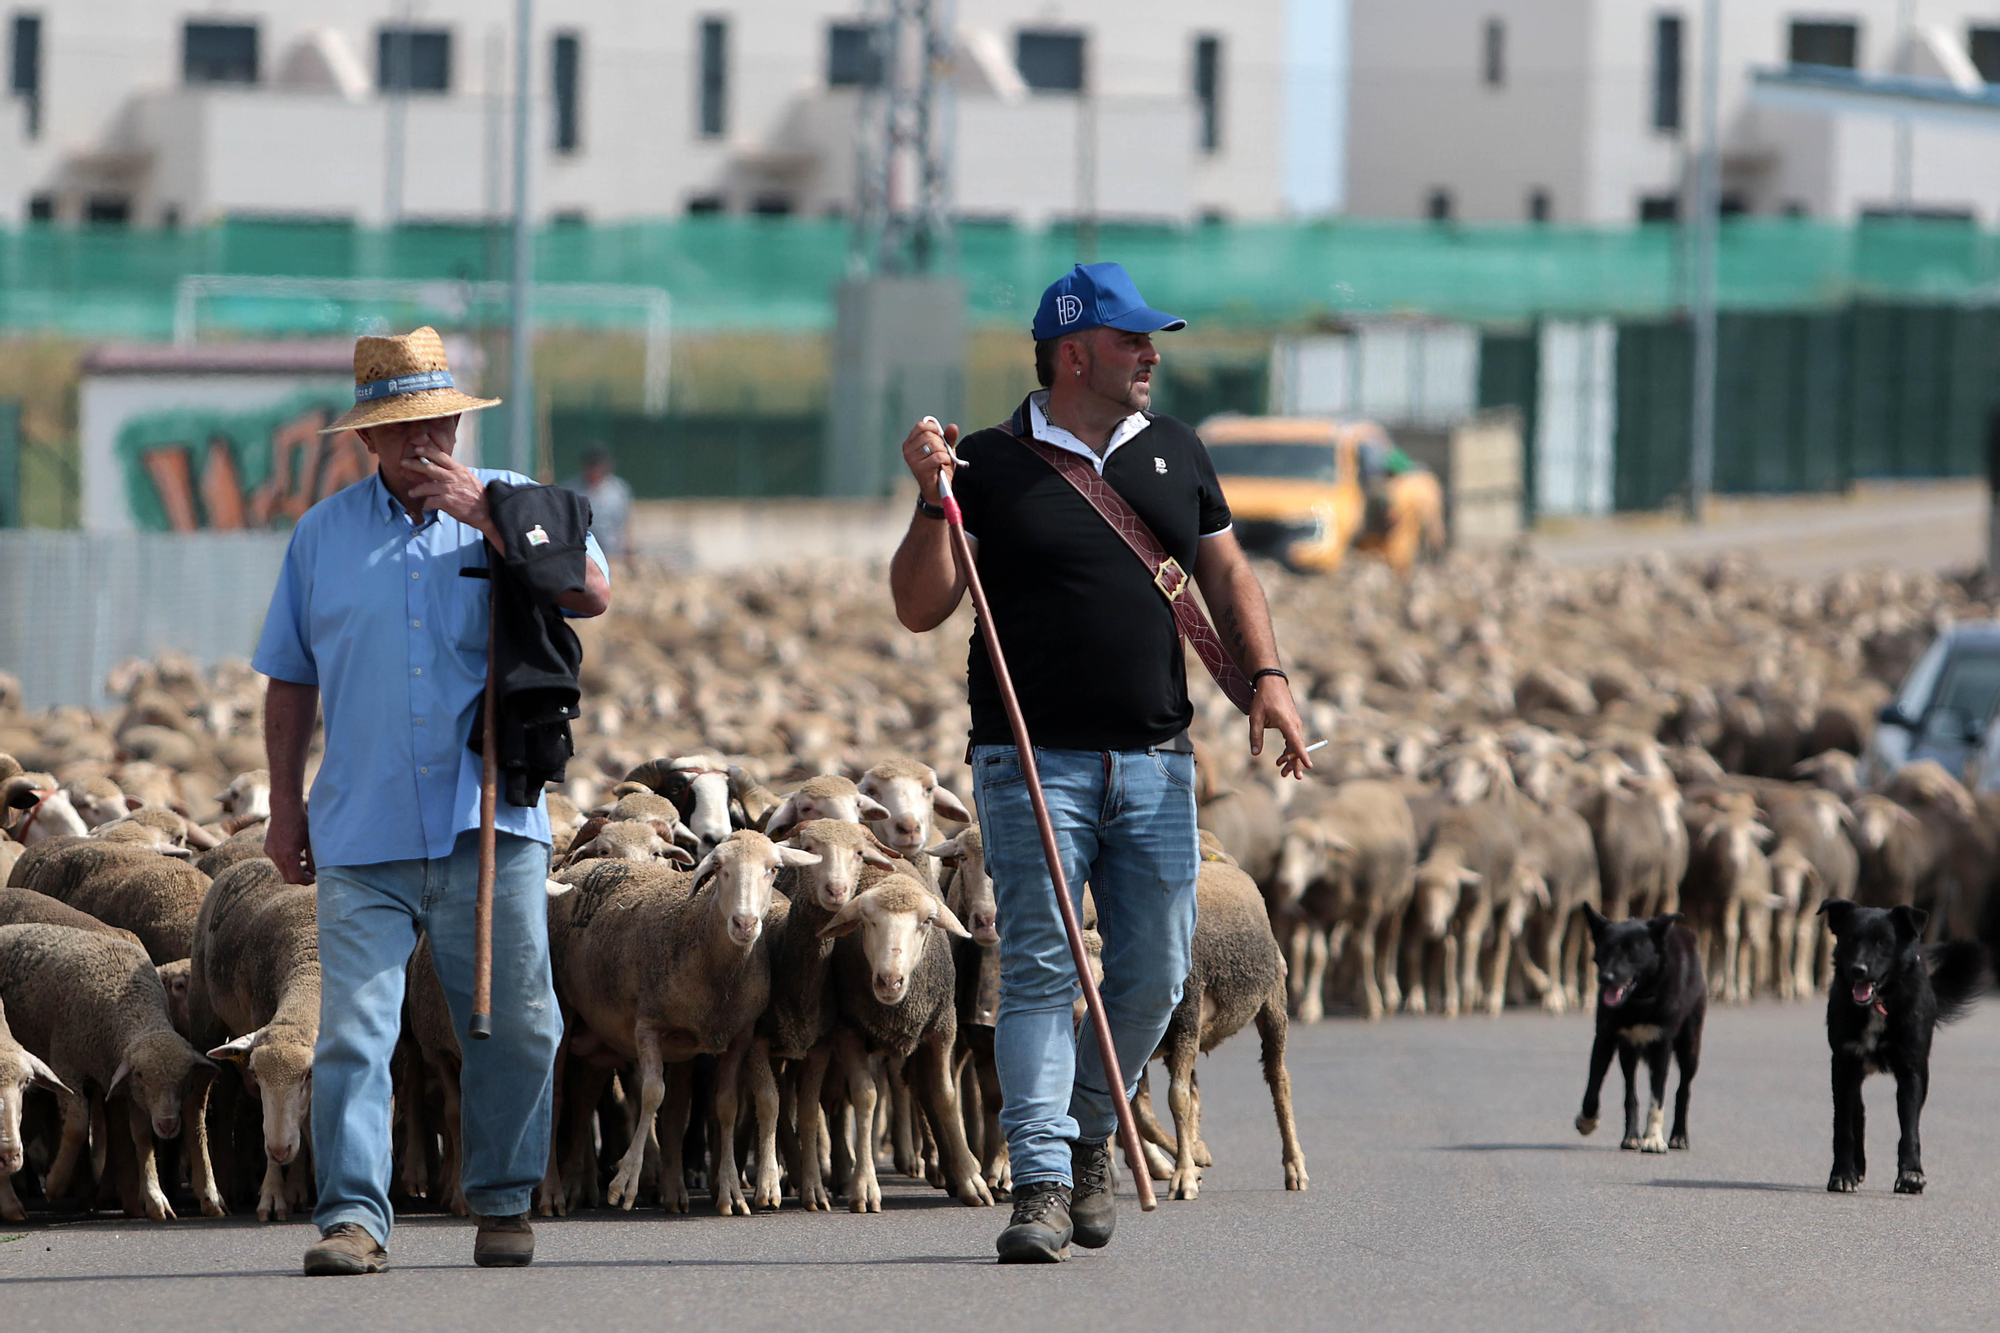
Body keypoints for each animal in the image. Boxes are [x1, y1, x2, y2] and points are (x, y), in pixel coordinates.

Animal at [186, 857, 319, 1221]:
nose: (279, 1149)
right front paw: (272, 1196)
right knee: (199, 1100)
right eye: (257, 1076)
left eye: (308, 1075)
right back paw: (212, 1194)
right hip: (204, 1008)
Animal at [1130, 857, 1308, 1200]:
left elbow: (1177, 1099)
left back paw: (1295, 1167)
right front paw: (1193, 1157)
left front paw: (1185, 1174)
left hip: (1273, 1001)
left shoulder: (1186, 1021)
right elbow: (1142, 1111)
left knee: (1279, 1078)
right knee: (1194, 1092)